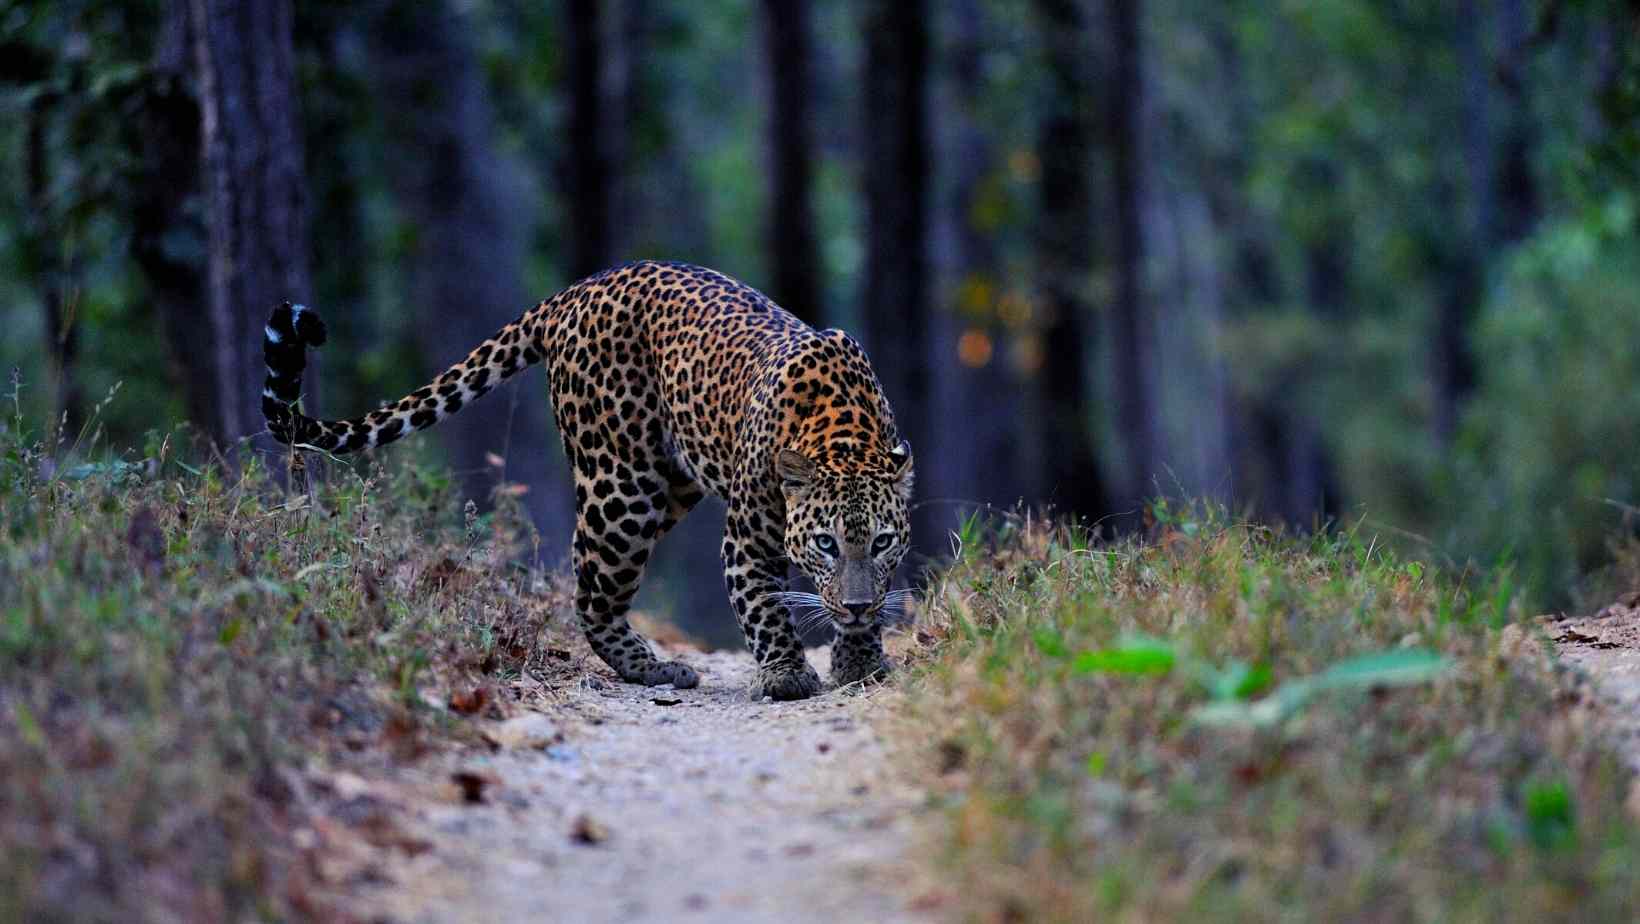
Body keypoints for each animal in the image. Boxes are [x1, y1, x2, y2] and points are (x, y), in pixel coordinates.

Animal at [262, 260, 918, 702]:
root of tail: (576, 290)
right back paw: (651, 668)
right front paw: (787, 674)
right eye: (825, 543)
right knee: (589, 589)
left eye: (882, 541)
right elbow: (760, 602)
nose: (855, 605)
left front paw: (860, 658)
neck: (844, 433)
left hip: (667, 483)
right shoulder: (749, 537)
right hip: (623, 487)